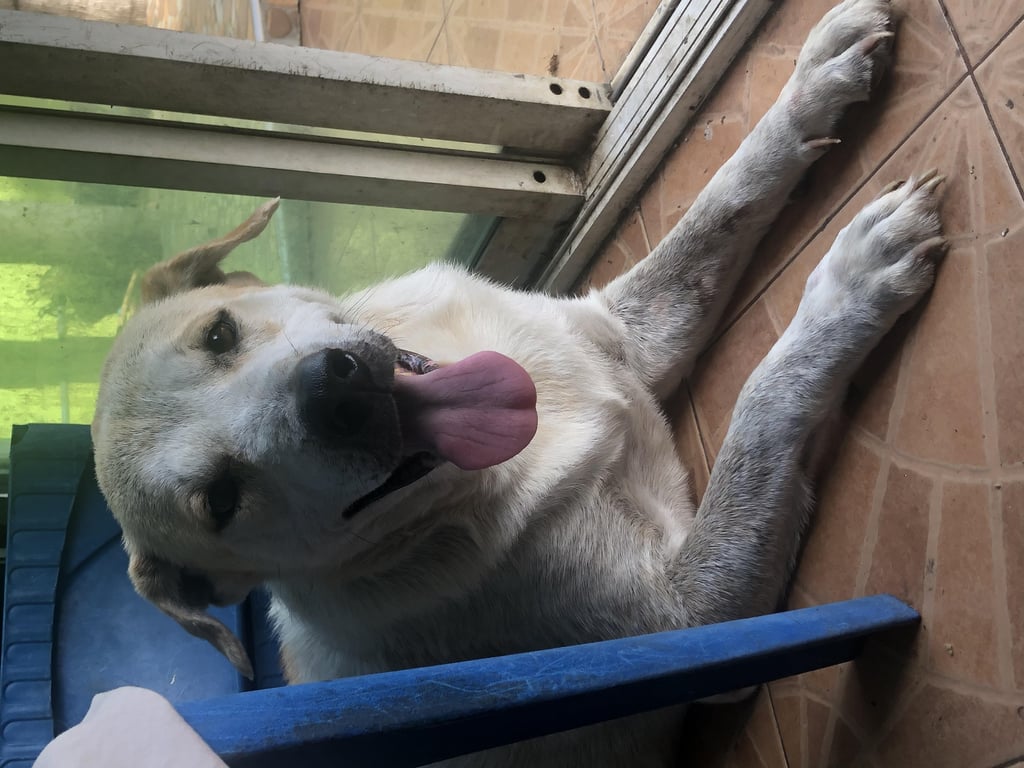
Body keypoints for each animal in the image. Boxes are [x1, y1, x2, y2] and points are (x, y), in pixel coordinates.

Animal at [91, 0, 946, 764]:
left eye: (219, 334)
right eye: (218, 502)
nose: (335, 394)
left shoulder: (618, 332)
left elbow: (720, 206)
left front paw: (814, 83)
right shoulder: (697, 623)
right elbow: (761, 406)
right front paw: (852, 282)